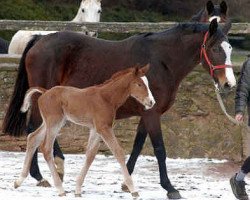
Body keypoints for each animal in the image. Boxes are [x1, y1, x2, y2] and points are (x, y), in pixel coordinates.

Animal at [14, 65, 155, 198]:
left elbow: (90, 155)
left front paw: (77, 190)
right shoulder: (104, 128)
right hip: (54, 122)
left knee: (33, 138)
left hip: (51, 122)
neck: (106, 98)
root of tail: (45, 91)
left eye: (147, 83)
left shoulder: (95, 129)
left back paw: (19, 181)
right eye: (139, 84)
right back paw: (60, 189)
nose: (151, 102)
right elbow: (118, 152)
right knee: (46, 148)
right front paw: (133, 190)